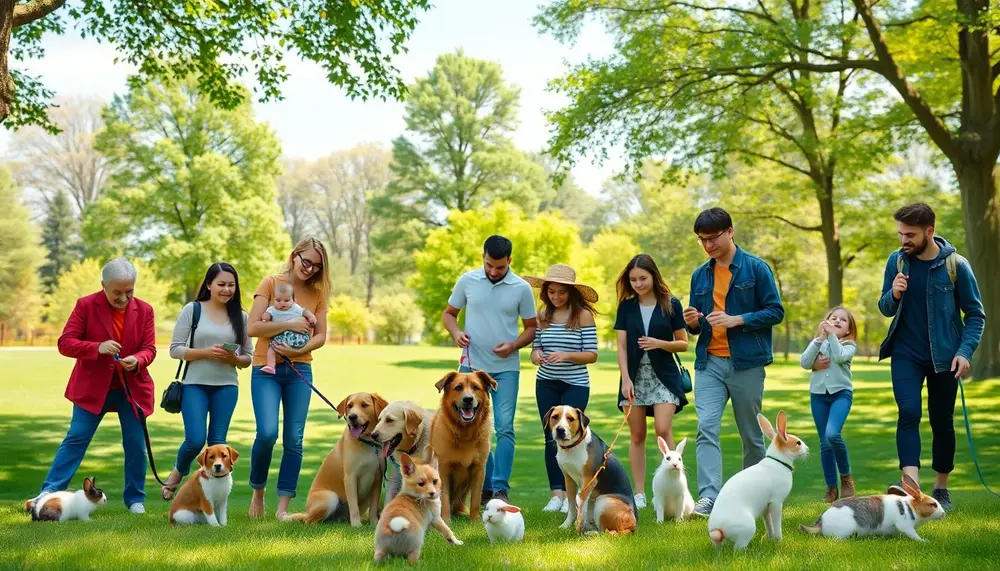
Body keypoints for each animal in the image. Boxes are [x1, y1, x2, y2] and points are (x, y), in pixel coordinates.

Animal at [286, 394, 390, 528]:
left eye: (364, 405)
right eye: (349, 406)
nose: (352, 417)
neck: (367, 443)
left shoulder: (377, 478)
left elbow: (373, 506)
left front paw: (374, 523)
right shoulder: (350, 477)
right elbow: (353, 505)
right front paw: (356, 525)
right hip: (330, 497)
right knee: (309, 521)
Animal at [428, 370, 494, 524]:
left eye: (476, 387)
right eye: (458, 387)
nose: (468, 399)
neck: (465, 434)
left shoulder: (479, 469)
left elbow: (475, 499)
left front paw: (475, 521)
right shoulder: (443, 469)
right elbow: (445, 498)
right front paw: (446, 520)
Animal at [544, 404, 636, 536]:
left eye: (570, 419)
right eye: (555, 417)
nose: (560, 430)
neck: (572, 447)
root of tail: (634, 525)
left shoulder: (589, 480)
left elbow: (581, 506)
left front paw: (578, 529)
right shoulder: (568, 479)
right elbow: (571, 506)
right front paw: (566, 526)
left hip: (603, 502)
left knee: (609, 532)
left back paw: (591, 533)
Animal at [708, 414, 808, 552]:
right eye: (798, 443)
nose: (807, 449)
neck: (778, 462)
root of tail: (718, 530)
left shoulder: (765, 508)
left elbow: (769, 524)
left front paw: (771, 539)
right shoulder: (776, 503)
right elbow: (776, 523)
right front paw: (779, 540)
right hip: (748, 529)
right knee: (738, 549)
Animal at [796, 476, 944, 544]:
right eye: (932, 504)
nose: (943, 513)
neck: (911, 508)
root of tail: (821, 522)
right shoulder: (905, 525)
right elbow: (913, 535)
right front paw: (924, 541)